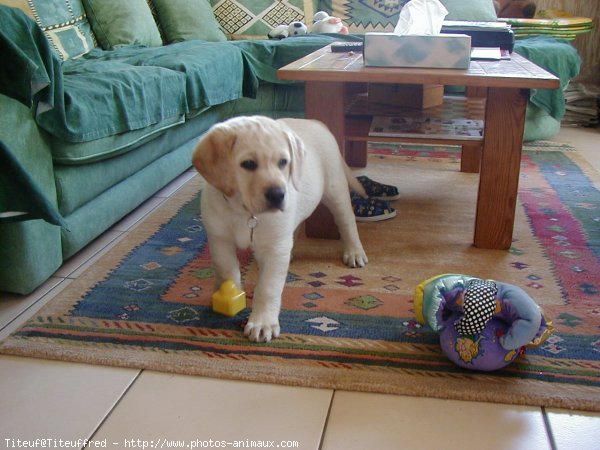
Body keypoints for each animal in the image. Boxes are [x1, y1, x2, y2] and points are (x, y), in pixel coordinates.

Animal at [195, 115, 368, 342]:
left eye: (283, 162)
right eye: (248, 164)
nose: (278, 194)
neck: (245, 213)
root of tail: (316, 122)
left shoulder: (275, 247)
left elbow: (268, 287)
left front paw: (262, 322)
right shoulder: (219, 239)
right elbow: (227, 271)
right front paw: (230, 292)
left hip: (335, 189)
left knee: (347, 222)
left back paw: (354, 252)